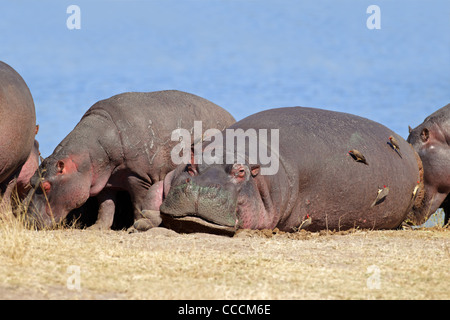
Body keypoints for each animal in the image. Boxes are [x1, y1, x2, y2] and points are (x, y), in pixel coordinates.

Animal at [25, 90, 236, 230]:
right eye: (31, 181)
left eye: (46, 186)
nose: (28, 220)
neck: (87, 157)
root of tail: (231, 116)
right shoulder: (105, 181)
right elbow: (106, 206)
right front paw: (97, 228)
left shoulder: (138, 177)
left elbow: (138, 203)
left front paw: (134, 226)